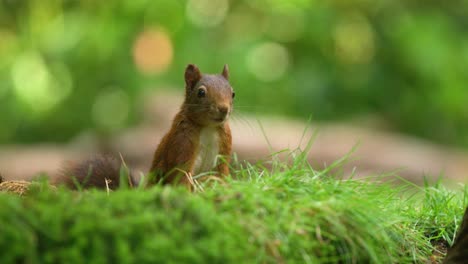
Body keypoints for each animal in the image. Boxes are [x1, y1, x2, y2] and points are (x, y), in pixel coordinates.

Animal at [57, 64, 234, 189]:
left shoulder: (224, 146)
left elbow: (221, 173)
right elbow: (180, 175)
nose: (224, 109)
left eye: (233, 93)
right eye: (201, 93)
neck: (208, 127)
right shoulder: (182, 143)